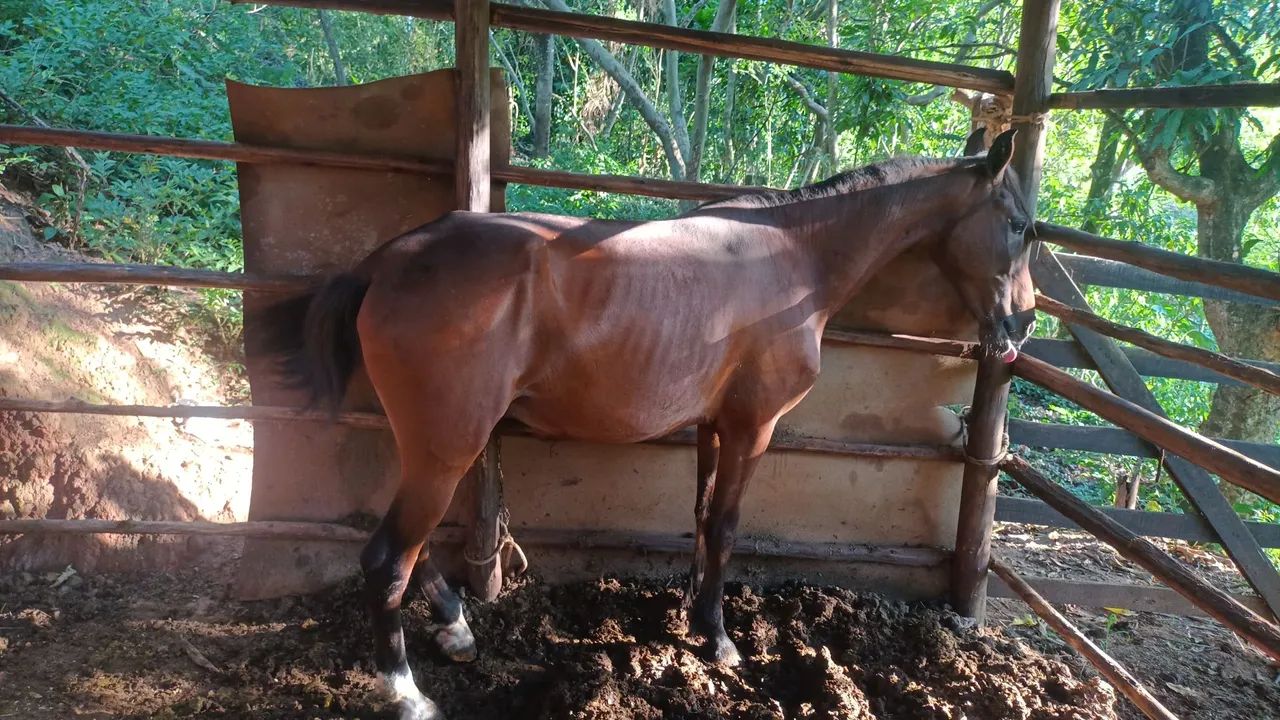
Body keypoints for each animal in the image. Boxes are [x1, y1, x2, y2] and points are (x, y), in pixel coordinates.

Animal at [261, 128, 1036, 720]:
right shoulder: (752, 427)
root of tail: (392, 258)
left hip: (429, 444)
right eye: (1020, 227)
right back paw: (408, 693)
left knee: (405, 545)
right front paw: (720, 641)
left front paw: (695, 618)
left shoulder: (711, 426)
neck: (789, 255)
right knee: (387, 559)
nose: (1021, 323)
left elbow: (699, 518)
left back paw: (454, 627)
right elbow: (726, 525)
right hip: (449, 448)